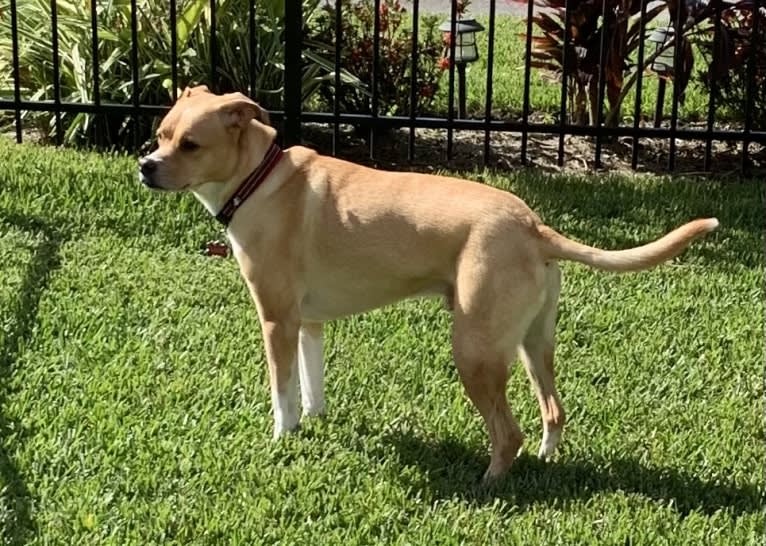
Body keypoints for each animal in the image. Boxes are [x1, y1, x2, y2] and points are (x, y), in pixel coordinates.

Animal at [141, 83, 724, 478]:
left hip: (475, 351)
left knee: (506, 433)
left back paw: (491, 484)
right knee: (553, 411)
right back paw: (544, 461)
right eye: (160, 135)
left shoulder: (276, 321)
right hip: (533, 344)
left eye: (190, 144)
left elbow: (282, 393)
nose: (145, 166)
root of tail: (532, 226)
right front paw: (314, 422)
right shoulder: (308, 325)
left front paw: (283, 439)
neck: (258, 181)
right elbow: (311, 386)